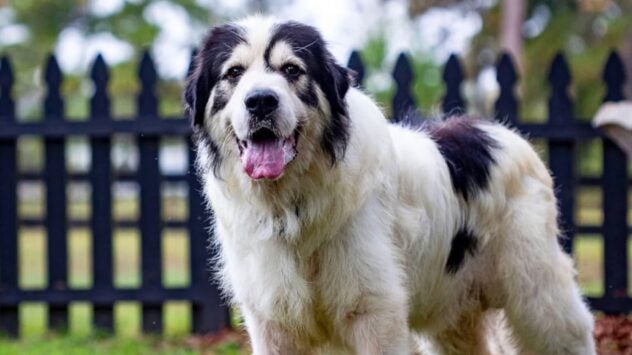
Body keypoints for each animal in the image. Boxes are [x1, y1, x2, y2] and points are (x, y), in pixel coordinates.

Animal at [184, 15, 596, 354]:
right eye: (233, 73)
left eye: (291, 70)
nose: (260, 101)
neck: (292, 205)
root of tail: (500, 131)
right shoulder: (272, 322)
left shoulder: (374, 312)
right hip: (456, 314)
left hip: (538, 294)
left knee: (569, 331)